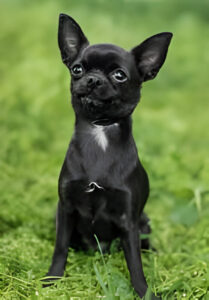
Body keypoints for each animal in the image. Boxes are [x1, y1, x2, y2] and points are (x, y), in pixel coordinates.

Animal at [45, 14, 171, 300]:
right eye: (77, 69)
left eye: (119, 75)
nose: (93, 79)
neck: (99, 130)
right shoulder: (65, 209)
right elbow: (60, 247)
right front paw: (51, 279)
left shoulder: (129, 220)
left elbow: (135, 263)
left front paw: (144, 292)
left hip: (144, 221)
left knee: (144, 245)